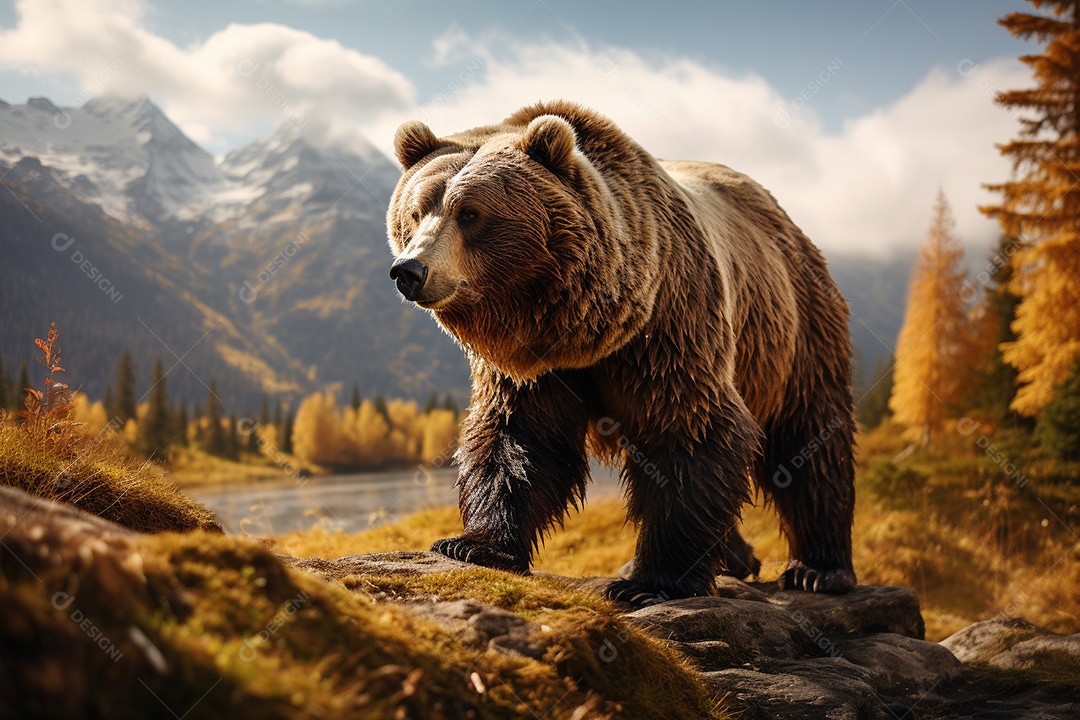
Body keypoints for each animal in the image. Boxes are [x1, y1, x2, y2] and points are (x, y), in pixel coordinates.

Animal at [386, 101, 856, 603]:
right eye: (415, 211)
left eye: (471, 213)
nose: (410, 270)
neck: (581, 330)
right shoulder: (534, 367)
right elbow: (518, 438)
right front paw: (473, 544)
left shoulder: (667, 329)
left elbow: (687, 431)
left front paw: (651, 583)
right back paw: (737, 557)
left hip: (794, 328)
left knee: (810, 437)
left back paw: (819, 569)